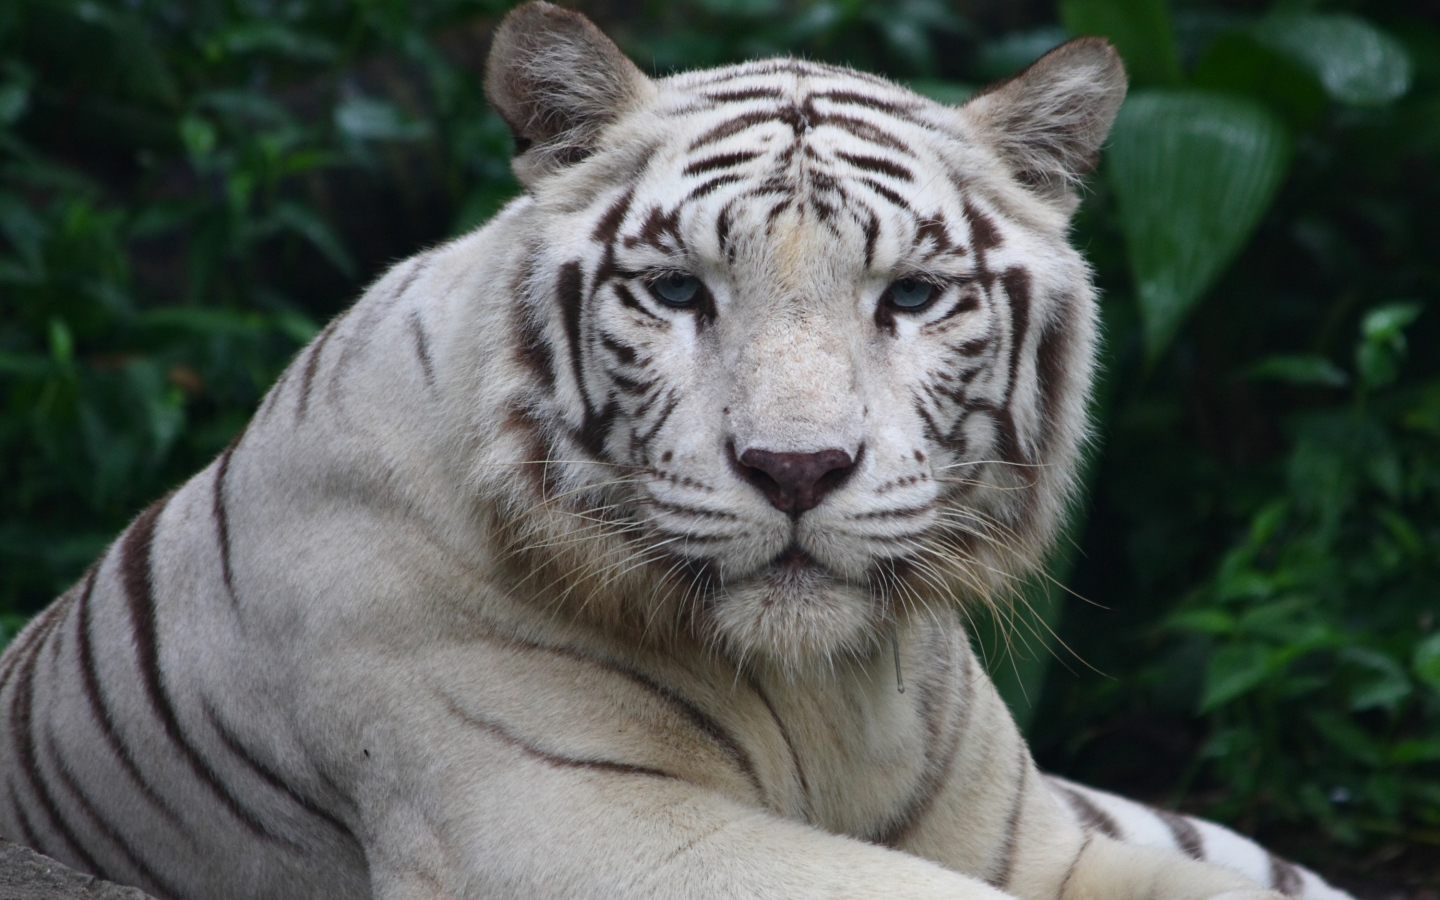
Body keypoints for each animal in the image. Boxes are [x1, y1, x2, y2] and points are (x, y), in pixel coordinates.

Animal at [0, 4, 1355, 899]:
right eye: (676, 291)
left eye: (913, 296)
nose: (797, 470)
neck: (828, 690)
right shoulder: (575, 824)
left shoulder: (1034, 836)